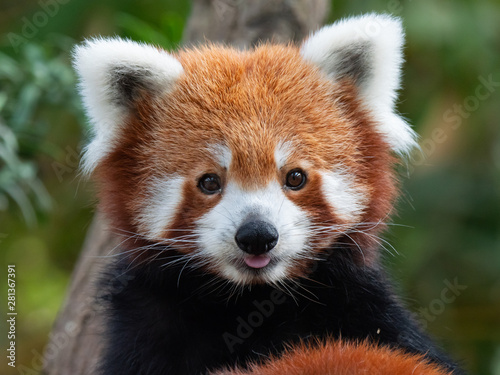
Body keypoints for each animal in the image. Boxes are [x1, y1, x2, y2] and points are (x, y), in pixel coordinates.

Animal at [73, 13, 460, 374]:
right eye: (209, 182)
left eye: (295, 177)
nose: (257, 235)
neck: (248, 303)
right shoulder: (146, 327)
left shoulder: (369, 314)